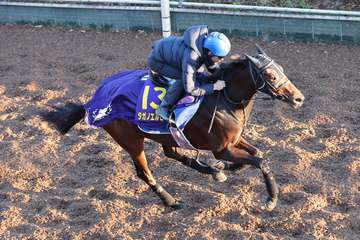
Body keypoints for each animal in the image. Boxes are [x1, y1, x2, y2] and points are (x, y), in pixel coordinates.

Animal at [44, 45, 304, 210]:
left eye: (281, 69)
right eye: (270, 75)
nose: (299, 98)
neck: (224, 99)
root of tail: (93, 101)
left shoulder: (234, 140)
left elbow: (256, 153)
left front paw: (228, 167)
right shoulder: (221, 147)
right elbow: (260, 161)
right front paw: (271, 199)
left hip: (166, 135)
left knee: (171, 152)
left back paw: (212, 171)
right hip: (131, 140)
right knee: (145, 172)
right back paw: (171, 201)